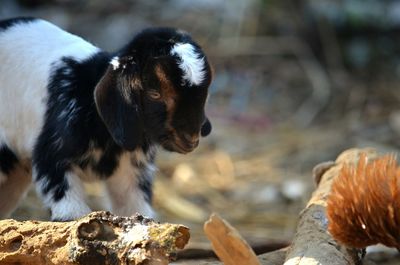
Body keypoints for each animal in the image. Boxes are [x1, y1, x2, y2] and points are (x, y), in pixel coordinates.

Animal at [0, 17, 212, 221]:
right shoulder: (52, 155)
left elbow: (133, 207)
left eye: (205, 94)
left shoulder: (130, 171)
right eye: (155, 94)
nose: (191, 138)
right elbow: (69, 209)